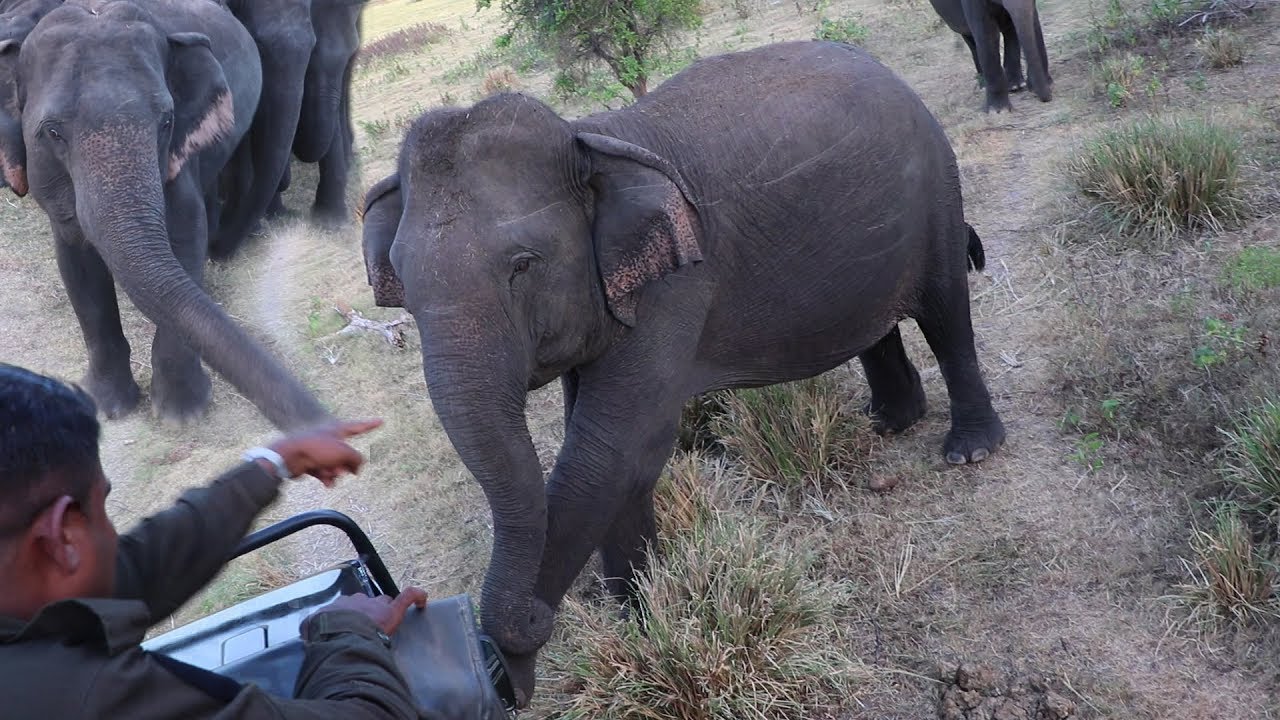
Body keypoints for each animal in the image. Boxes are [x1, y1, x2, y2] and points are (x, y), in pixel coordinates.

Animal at [0, 0, 333, 431]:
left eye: (166, 121)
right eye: (52, 132)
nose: (325, 422)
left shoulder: (179, 158)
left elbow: (186, 237)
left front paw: (182, 414)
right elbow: (77, 264)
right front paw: (108, 408)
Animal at [360, 40, 1007, 706]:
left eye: (523, 265)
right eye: (400, 279)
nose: (532, 628)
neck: (584, 139)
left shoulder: (674, 287)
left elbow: (611, 450)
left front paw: (526, 654)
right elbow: (602, 451)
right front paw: (638, 613)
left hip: (935, 182)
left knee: (946, 313)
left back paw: (969, 450)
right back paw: (890, 423)